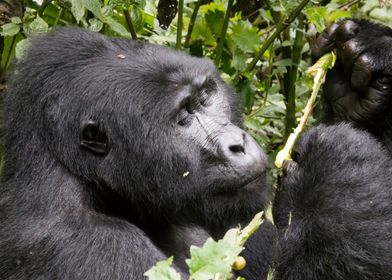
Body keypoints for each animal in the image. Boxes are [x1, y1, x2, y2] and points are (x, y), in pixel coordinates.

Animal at [0, 18, 390, 278]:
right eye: (183, 118)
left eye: (206, 96)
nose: (237, 144)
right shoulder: (85, 246)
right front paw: (338, 180)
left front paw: (362, 72)